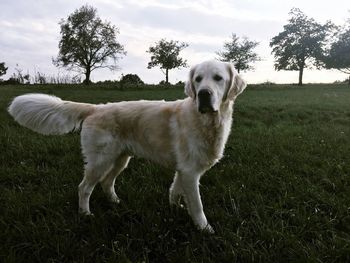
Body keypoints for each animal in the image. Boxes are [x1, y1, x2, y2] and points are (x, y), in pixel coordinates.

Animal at [8, 60, 249, 234]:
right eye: (198, 79)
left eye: (218, 78)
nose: (203, 94)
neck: (208, 122)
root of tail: (95, 108)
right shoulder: (190, 171)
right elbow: (197, 205)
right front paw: (205, 228)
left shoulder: (183, 169)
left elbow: (175, 190)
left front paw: (174, 209)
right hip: (100, 160)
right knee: (84, 187)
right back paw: (85, 214)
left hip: (120, 159)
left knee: (106, 182)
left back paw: (115, 202)